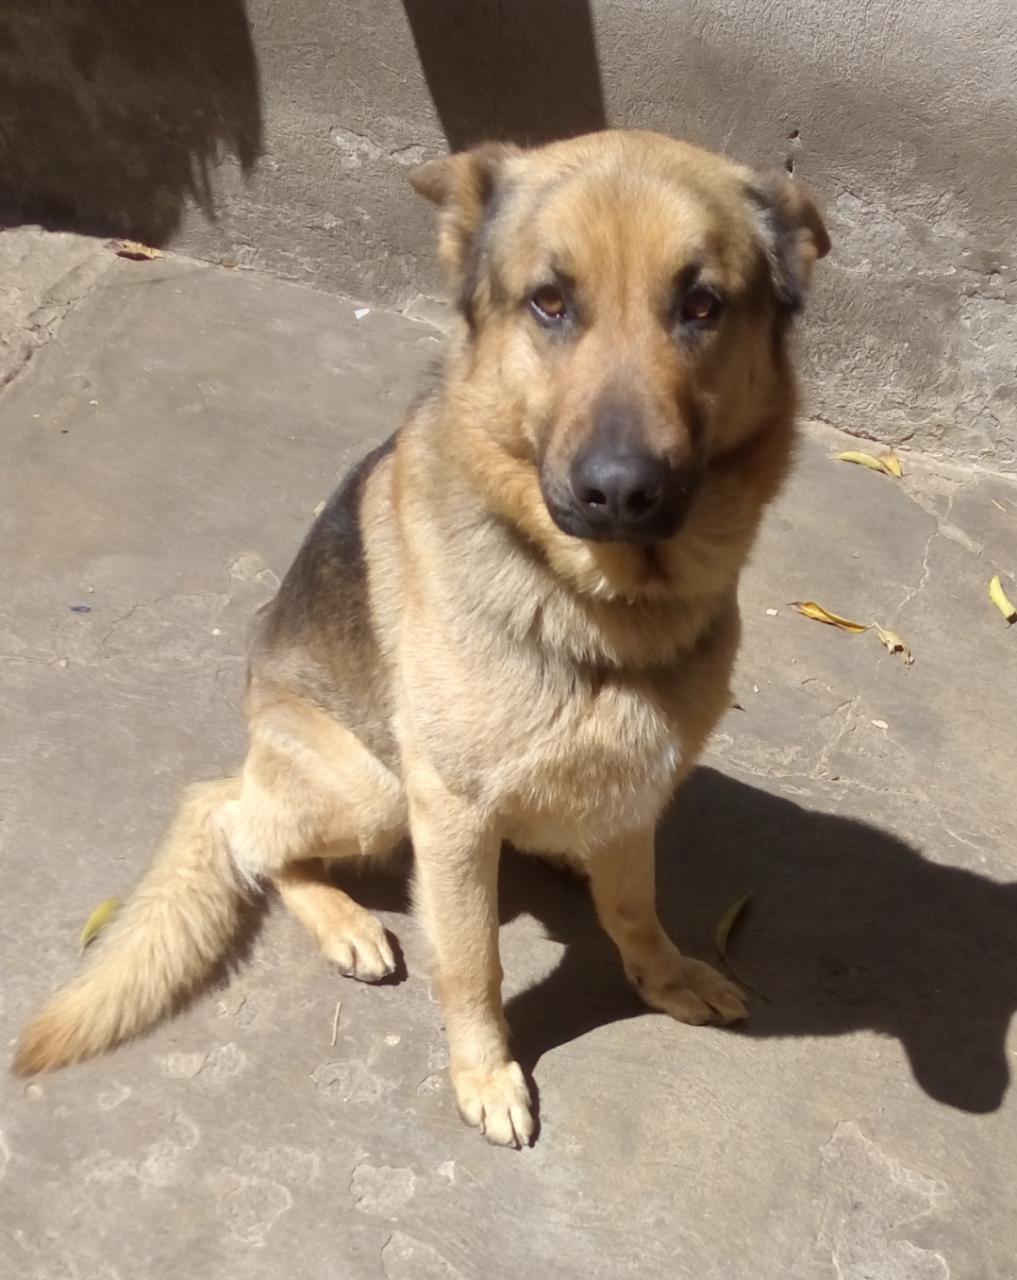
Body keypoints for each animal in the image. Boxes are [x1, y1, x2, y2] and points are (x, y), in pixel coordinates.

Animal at [13, 132, 828, 1152]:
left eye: (702, 305)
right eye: (548, 302)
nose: (620, 492)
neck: (593, 603)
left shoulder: (638, 794)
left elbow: (635, 906)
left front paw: (664, 976)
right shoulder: (454, 813)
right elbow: (472, 961)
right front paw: (483, 1072)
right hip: (374, 788)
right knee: (239, 824)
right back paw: (343, 918)